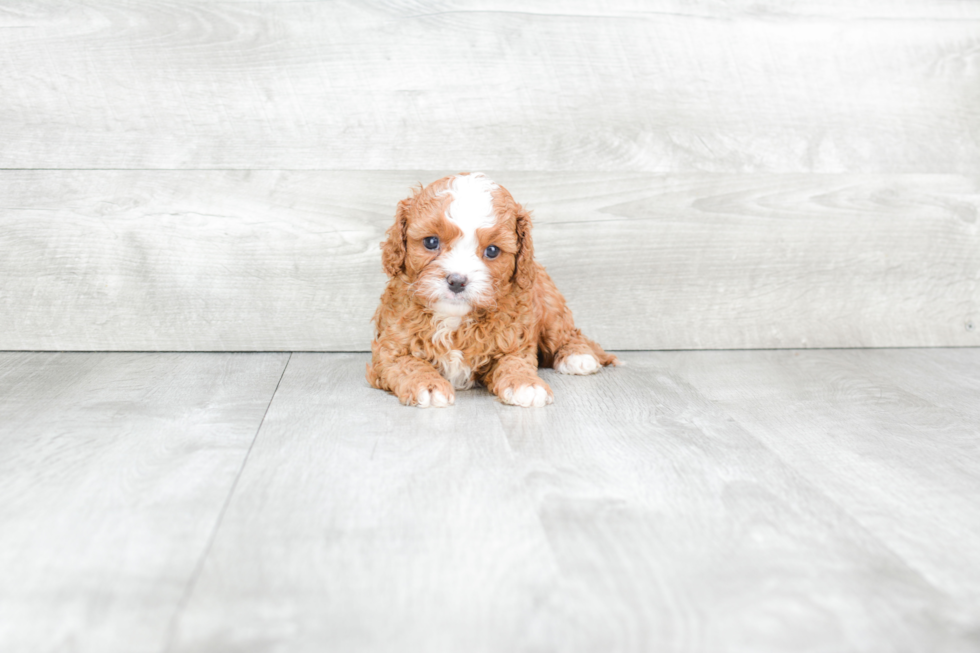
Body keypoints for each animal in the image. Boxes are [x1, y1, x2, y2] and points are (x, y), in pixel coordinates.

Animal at [368, 173, 620, 408]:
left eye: (492, 250)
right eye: (431, 242)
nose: (457, 281)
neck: (454, 319)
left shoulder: (515, 343)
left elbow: (515, 362)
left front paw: (525, 383)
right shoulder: (389, 350)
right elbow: (408, 364)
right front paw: (427, 385)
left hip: (551, 308)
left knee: (568, 333)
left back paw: (578, 356)